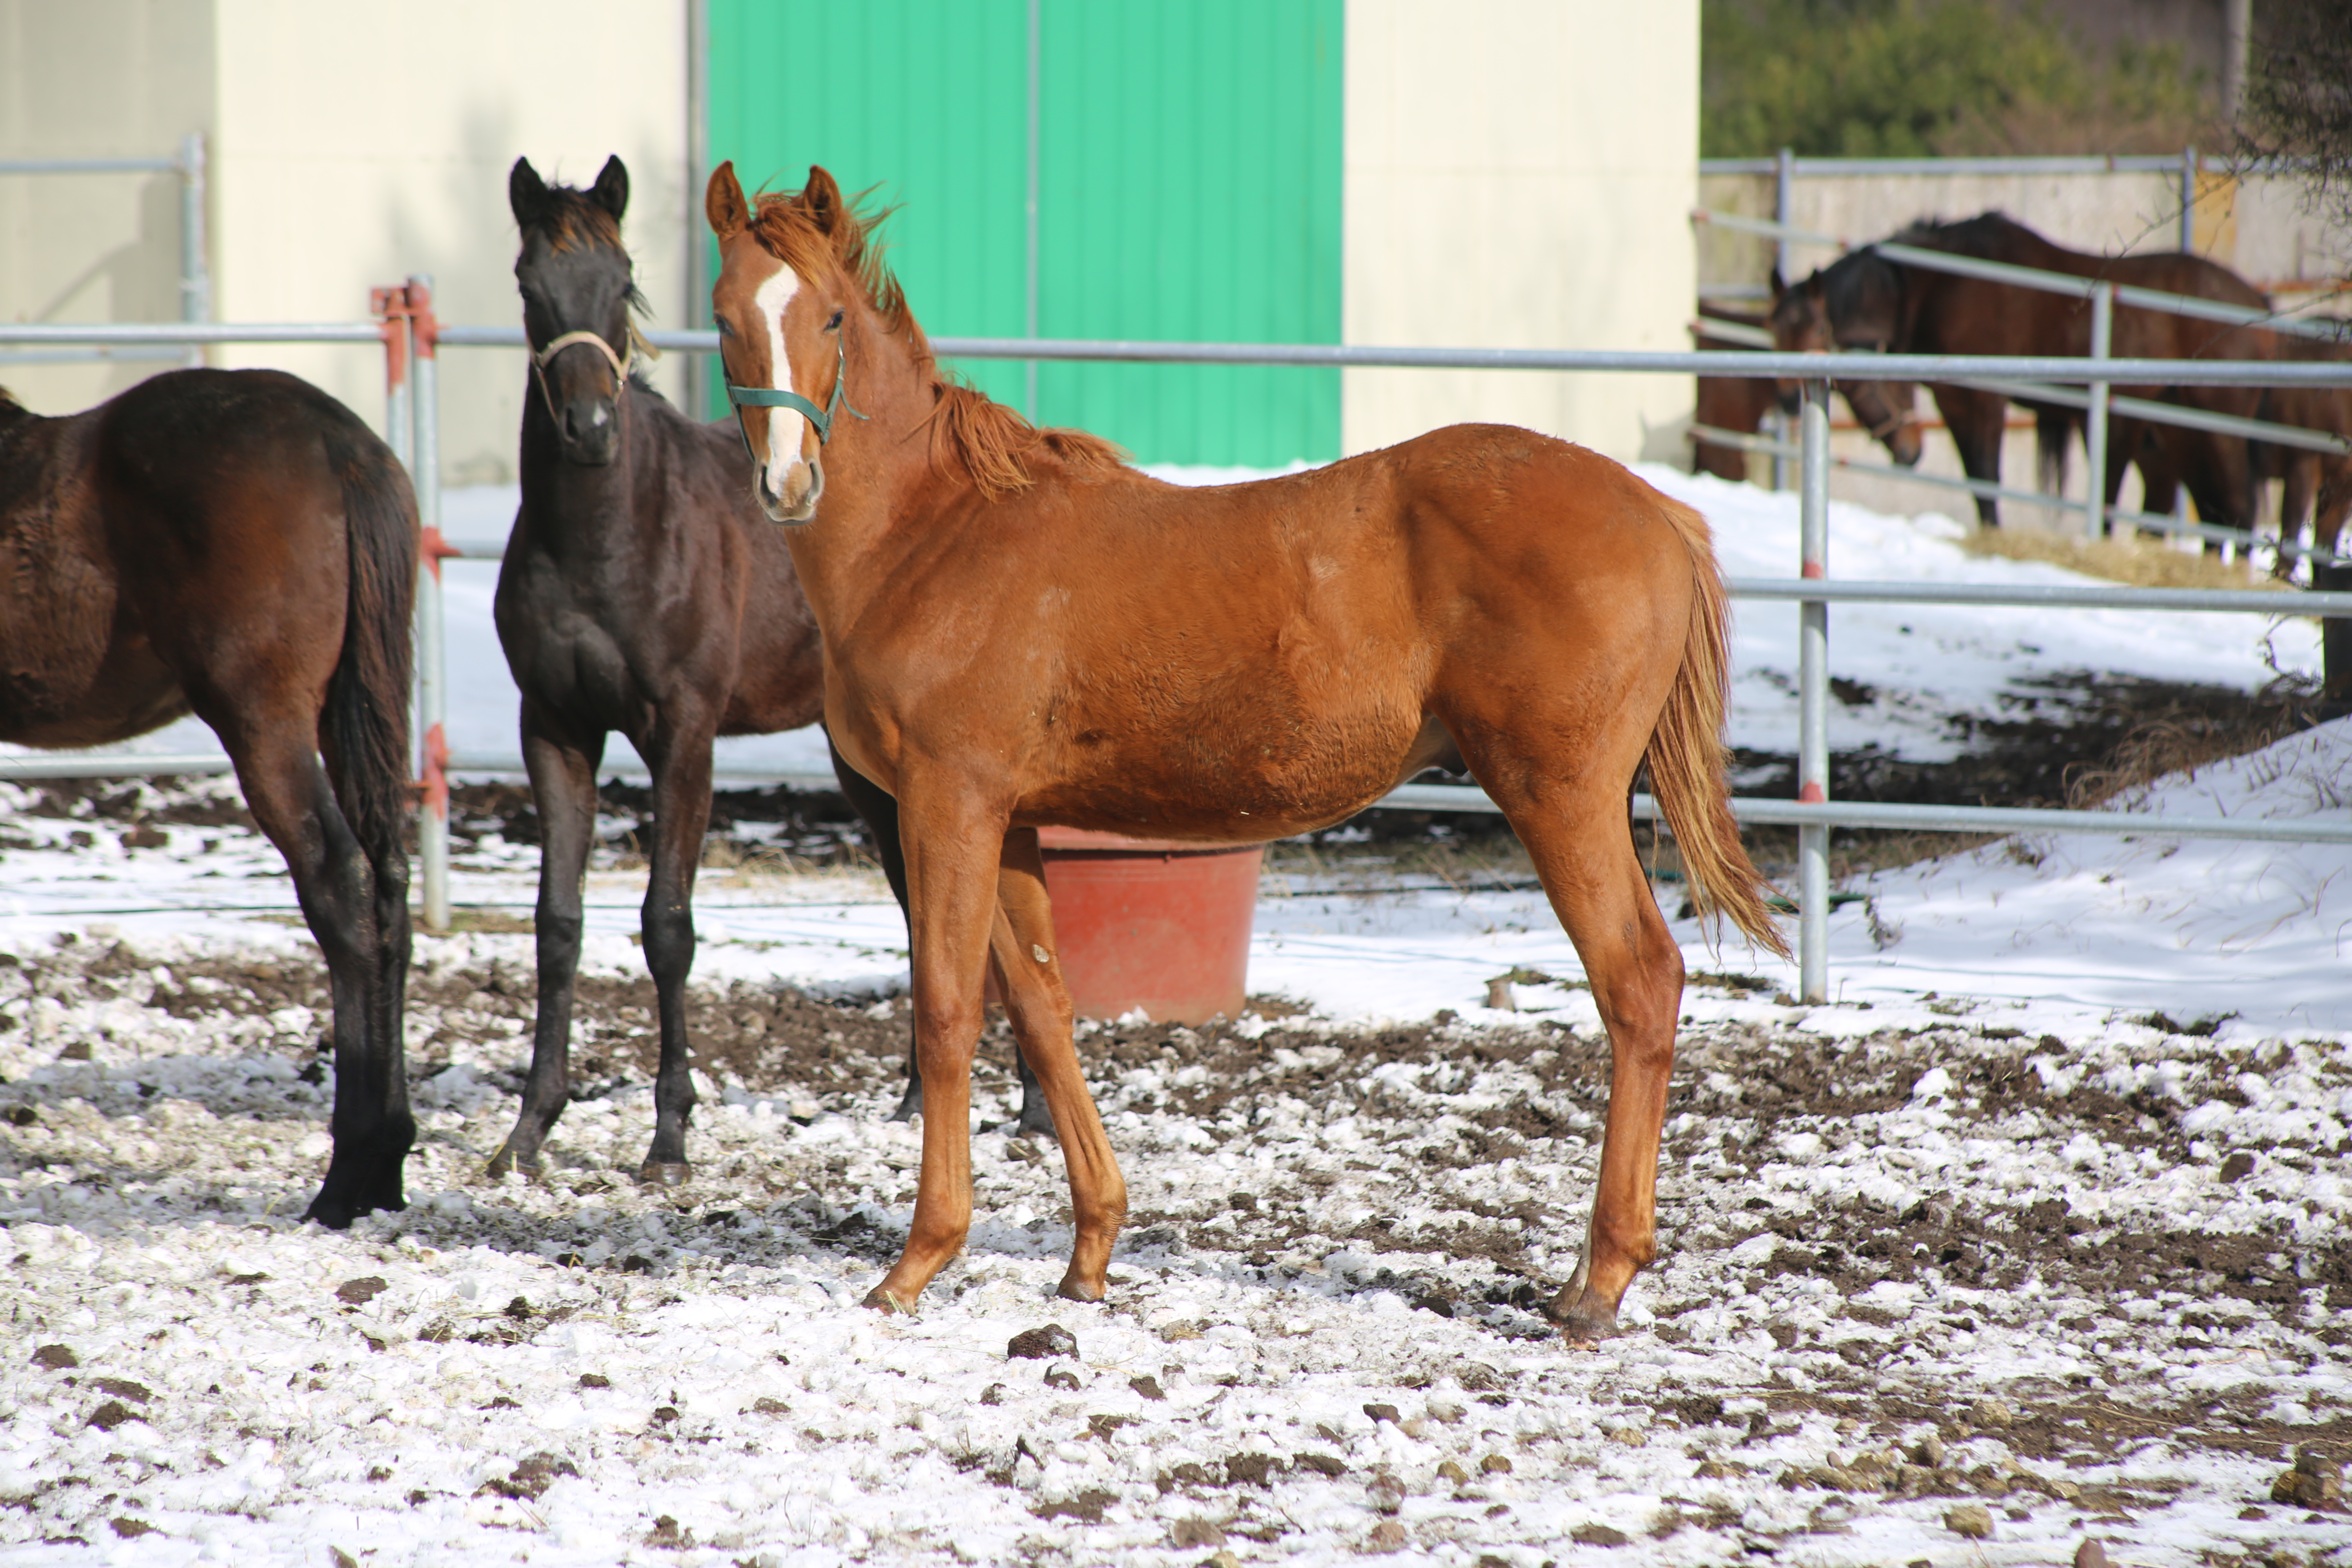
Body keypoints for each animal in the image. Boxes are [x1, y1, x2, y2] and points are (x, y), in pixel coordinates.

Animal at [0, 371, 419, 1222]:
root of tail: (340, 443)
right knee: (388, 881)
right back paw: (386, 1170)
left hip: (262, 717)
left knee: (340, 881)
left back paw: (348, 1175)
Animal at [696, 165, 1778, 1354]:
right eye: (724, 316)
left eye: (831, 319)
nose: (786, 485)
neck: (934, 538)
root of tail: (1659, 514)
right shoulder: (1011, 822)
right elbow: (1043, 1011)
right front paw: (1090, 1254)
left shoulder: (948, 804)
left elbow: (943, 1013)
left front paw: (916, 1262)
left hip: (1561, 799)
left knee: (1638, 983)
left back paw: (1598, 1281)